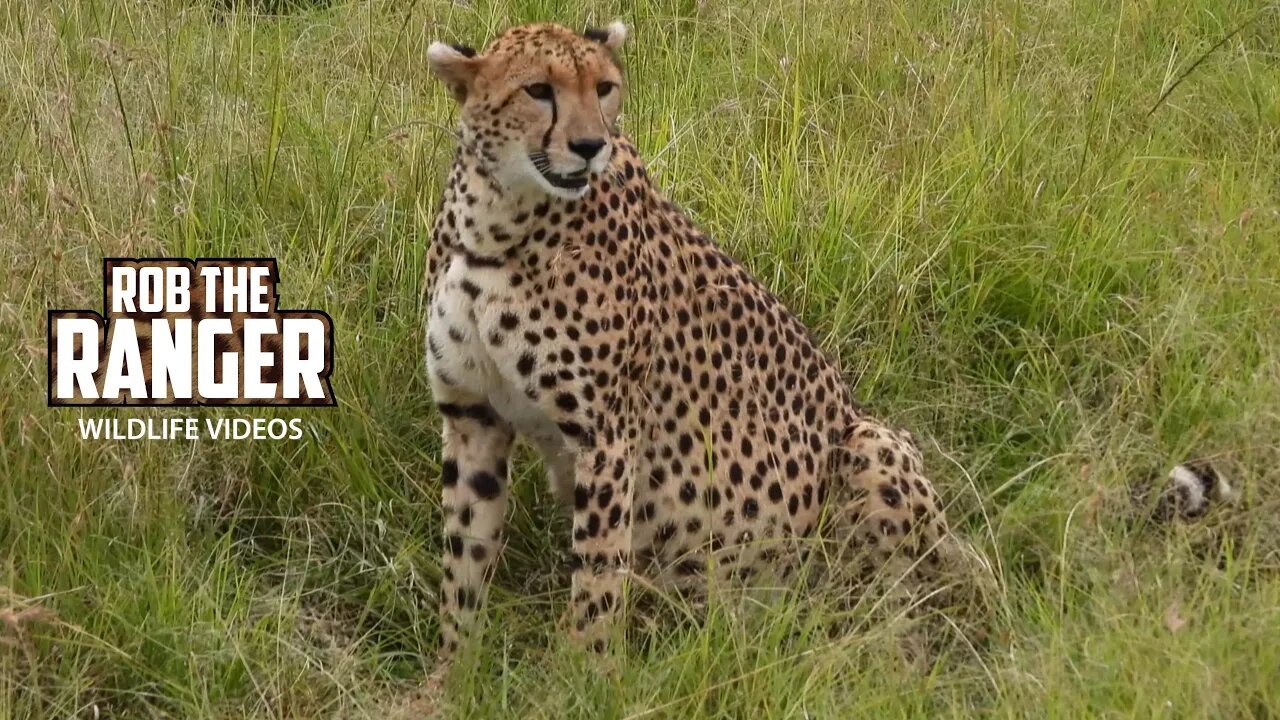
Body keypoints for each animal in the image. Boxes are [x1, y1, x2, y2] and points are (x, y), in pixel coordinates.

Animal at [424, 19, 972, 661]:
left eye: (604, 88)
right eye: (538, 90)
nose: (589, 146)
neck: (496, 221)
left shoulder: (608, 432)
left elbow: (597, 575)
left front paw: (585, 669)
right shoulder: (473, 417)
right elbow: (464, 561)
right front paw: (454, 668)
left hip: (868, 447)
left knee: (901, 608)